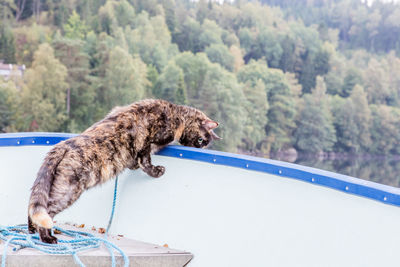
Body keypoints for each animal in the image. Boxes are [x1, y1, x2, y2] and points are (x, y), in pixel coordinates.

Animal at [28, 99, 222, 244]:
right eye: (201, 140)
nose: (199, 147)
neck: (176, 114)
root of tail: (63, 146)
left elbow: (136, 161)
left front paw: (133, 165)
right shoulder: (150, 139)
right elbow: (146, 161)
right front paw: (156, 171)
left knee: (35, 206)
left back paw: (31, 229)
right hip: (68, 191)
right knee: (47, 210)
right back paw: (47, 238)